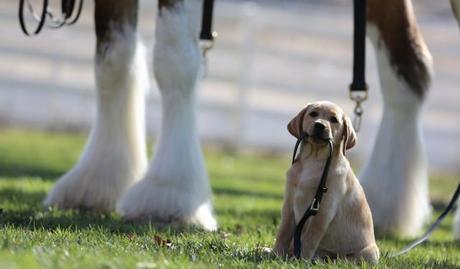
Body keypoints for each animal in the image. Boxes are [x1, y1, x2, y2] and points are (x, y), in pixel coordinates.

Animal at [274, 100, 380, 262]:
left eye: (334, 120)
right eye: (313, 114)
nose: (319, 125)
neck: (313, 159)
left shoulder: (323, 210)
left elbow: (310, 238)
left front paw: (301, 260)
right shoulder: (289, 204)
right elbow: (283, 233)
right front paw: (275, 255)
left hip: (369, 252)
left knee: (346, 259)